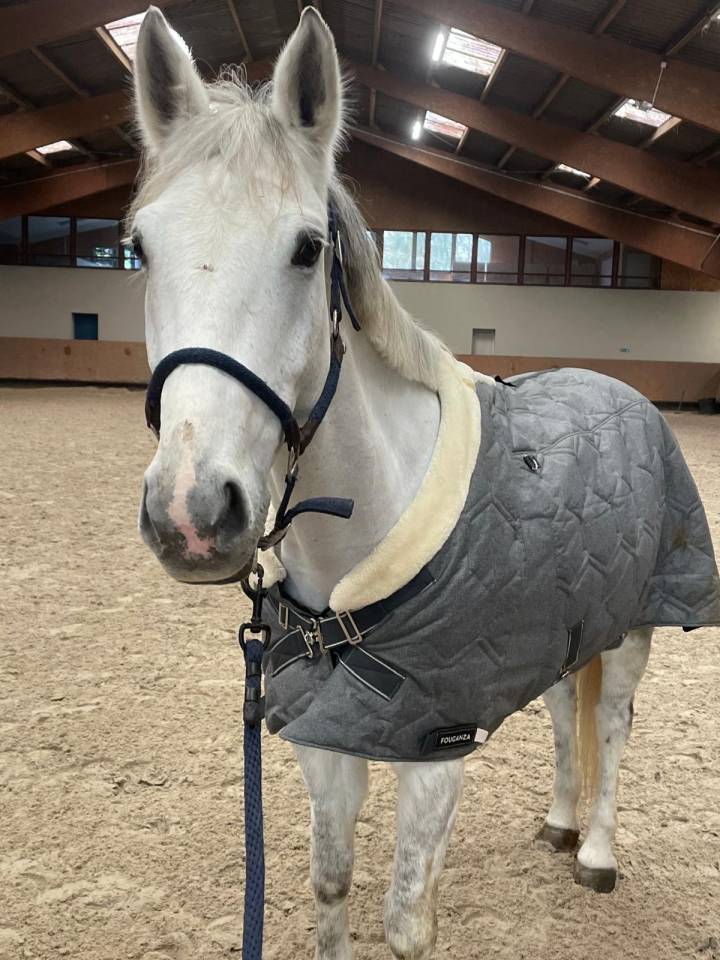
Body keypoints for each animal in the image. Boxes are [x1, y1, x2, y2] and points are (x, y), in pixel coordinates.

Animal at [131, 8, 719, 959]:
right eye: (138, 247)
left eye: (307, 249)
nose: (191, 513)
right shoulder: (325, 739)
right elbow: (330, 884)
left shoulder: (435, 748)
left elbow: (406, 918)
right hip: (565, 636)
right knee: (567, 712)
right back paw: (560, 823)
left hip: (635, 629)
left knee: (614, 726)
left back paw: (595, 850)